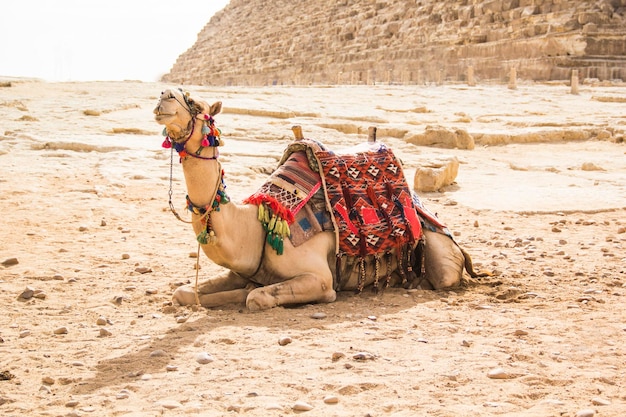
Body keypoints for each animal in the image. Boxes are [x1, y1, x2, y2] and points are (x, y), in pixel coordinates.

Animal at [154, 88, 476, 308]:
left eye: (195, 104)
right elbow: (183, 293)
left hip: (442, 255)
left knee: (444, 275)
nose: (164, 96)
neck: (257, 227)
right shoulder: (244, 271)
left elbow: (256, 298)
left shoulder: (319, 279)